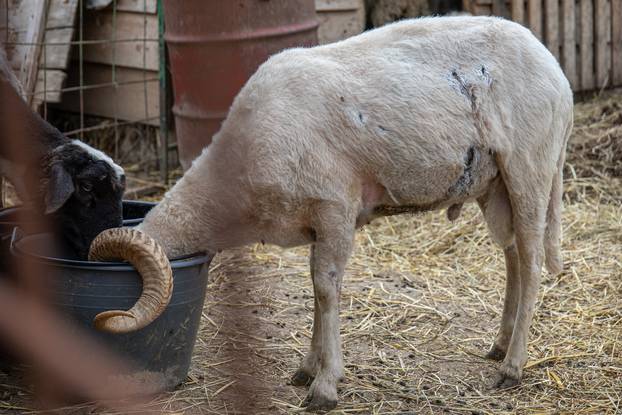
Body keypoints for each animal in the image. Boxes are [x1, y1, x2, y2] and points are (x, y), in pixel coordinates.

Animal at [89, 16, 576, 412]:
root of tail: (557, 72)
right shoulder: (314, 223)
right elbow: (316, 291)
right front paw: (308, 368)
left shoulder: (335, 209)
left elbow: (326, 289)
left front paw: (324, 386)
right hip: (494, 185)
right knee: (513, 257)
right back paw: (499, 345)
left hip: (530, 168)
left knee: (533, 262)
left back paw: (512, 368)